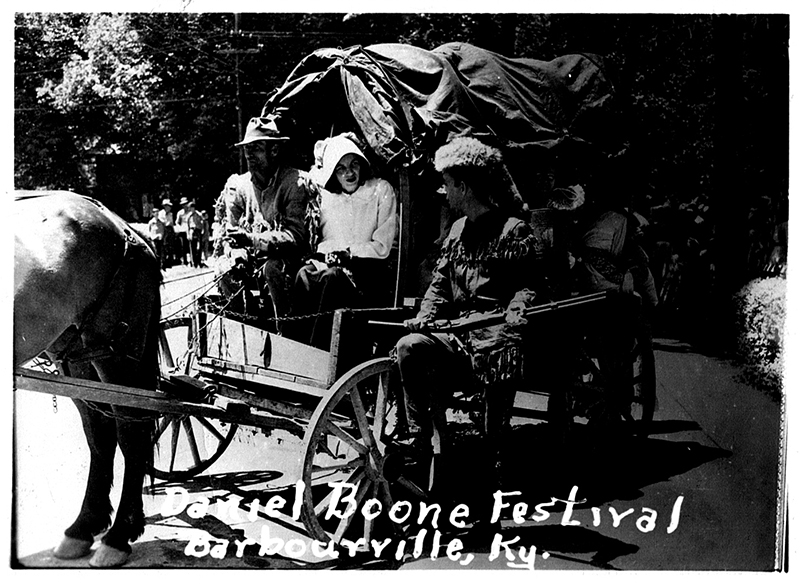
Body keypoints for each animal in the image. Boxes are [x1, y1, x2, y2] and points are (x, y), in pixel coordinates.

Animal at [14, 192, 162, 564]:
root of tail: (125, 227)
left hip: (116, 353)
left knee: (130, 432)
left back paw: (119, 535)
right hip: (77, 353)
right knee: (99, 431)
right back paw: (83, 526)